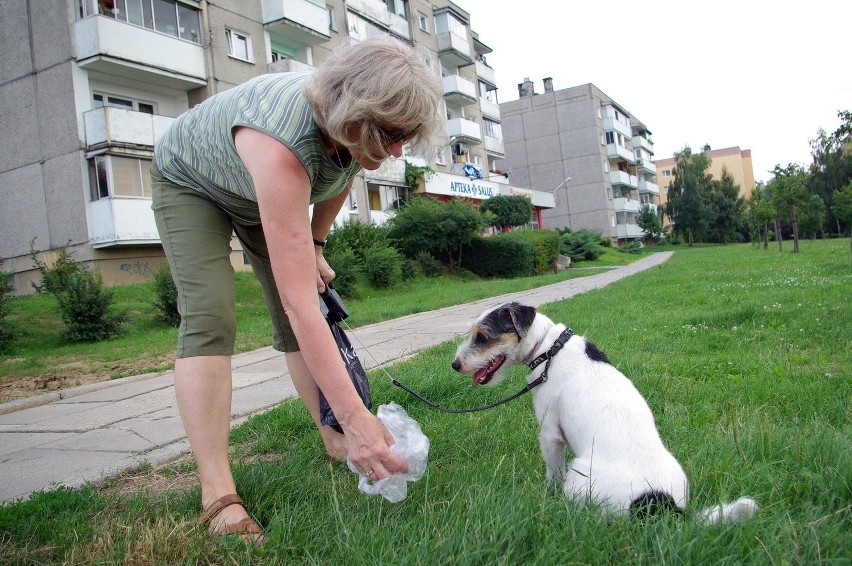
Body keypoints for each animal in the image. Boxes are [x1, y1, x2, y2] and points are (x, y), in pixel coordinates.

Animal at [452, 304, 760, 524]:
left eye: (482, 337)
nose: (455, 364)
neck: (549, 349)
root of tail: (661, 505)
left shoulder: (550, 433)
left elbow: (552, 474)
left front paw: (546, 497)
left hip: (579, 476)